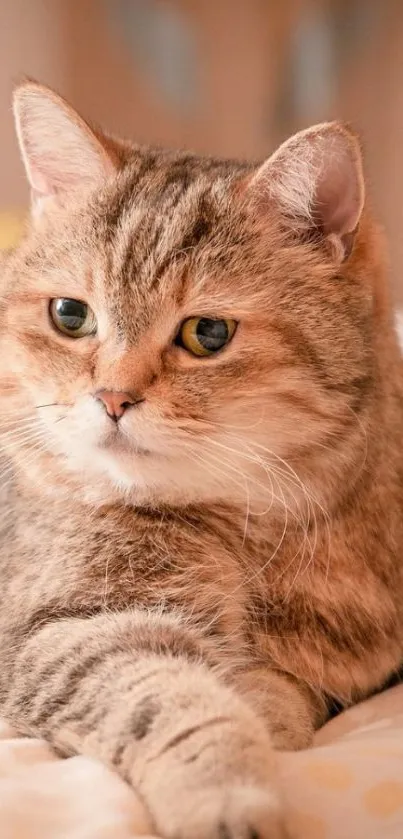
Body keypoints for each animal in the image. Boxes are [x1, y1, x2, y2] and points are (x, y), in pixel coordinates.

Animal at [0, 83, 403, 839]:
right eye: (70, 315)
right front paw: (227, 793)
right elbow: (178, 704)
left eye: (207, 333)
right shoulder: (53, 630)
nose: (112, 397)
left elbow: (282, 692)